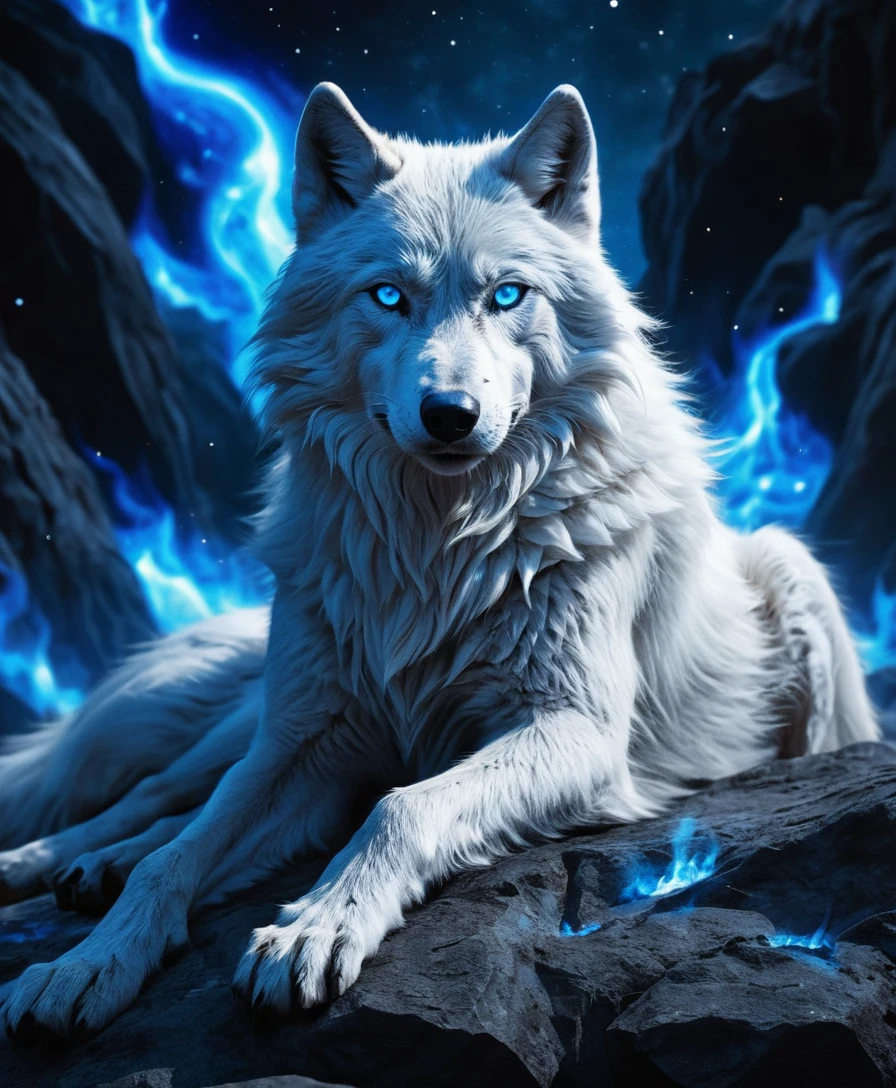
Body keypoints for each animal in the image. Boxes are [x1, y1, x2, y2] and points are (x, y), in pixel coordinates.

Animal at [0, 82, 878, 1041]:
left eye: (507, 294)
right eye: (389, 295)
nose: (451, 413)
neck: (438, 548)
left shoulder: (575, 730)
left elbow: (400, 805)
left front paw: (316, 927)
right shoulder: (307, 740)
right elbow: (181, 855)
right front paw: (88, 964)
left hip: (794, 575)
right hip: (259, 712)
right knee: (159, 794)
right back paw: (64, 864)